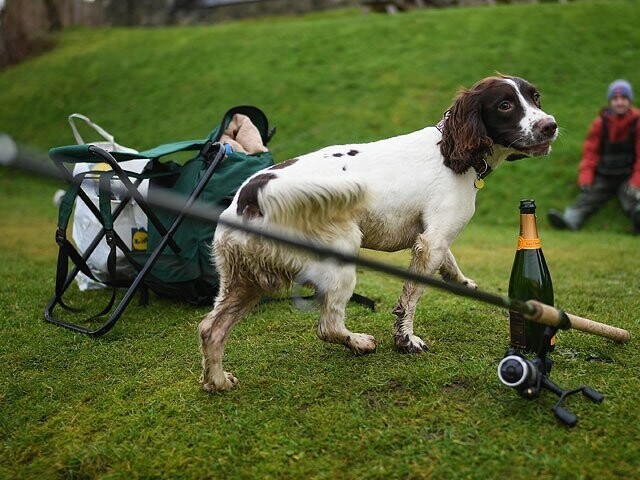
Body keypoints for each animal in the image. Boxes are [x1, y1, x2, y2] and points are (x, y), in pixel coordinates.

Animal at [199, 74, 556, 390]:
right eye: (505, 105)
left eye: (536, 97)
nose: (550, 125)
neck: (451, 151)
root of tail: (251, 194)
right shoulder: (433, 240)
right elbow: (409, 299)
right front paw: (406, 339)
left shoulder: (430, 237)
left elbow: (449, 263)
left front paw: (462, 282)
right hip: (339, 255)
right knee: (328, 326)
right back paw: (360, 343)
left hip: (245, 280)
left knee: (209, 328)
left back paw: (217, 381)